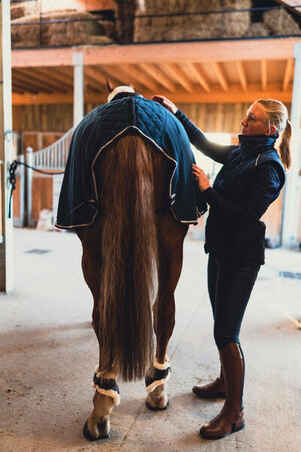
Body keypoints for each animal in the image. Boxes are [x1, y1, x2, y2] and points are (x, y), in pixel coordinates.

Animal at [55, 83, 204, 440]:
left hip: (92, 245)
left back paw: (101, 407)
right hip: (171, 238)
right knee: (164, 310)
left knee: (103, 313)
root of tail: (132, 120)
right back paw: (157, 389)